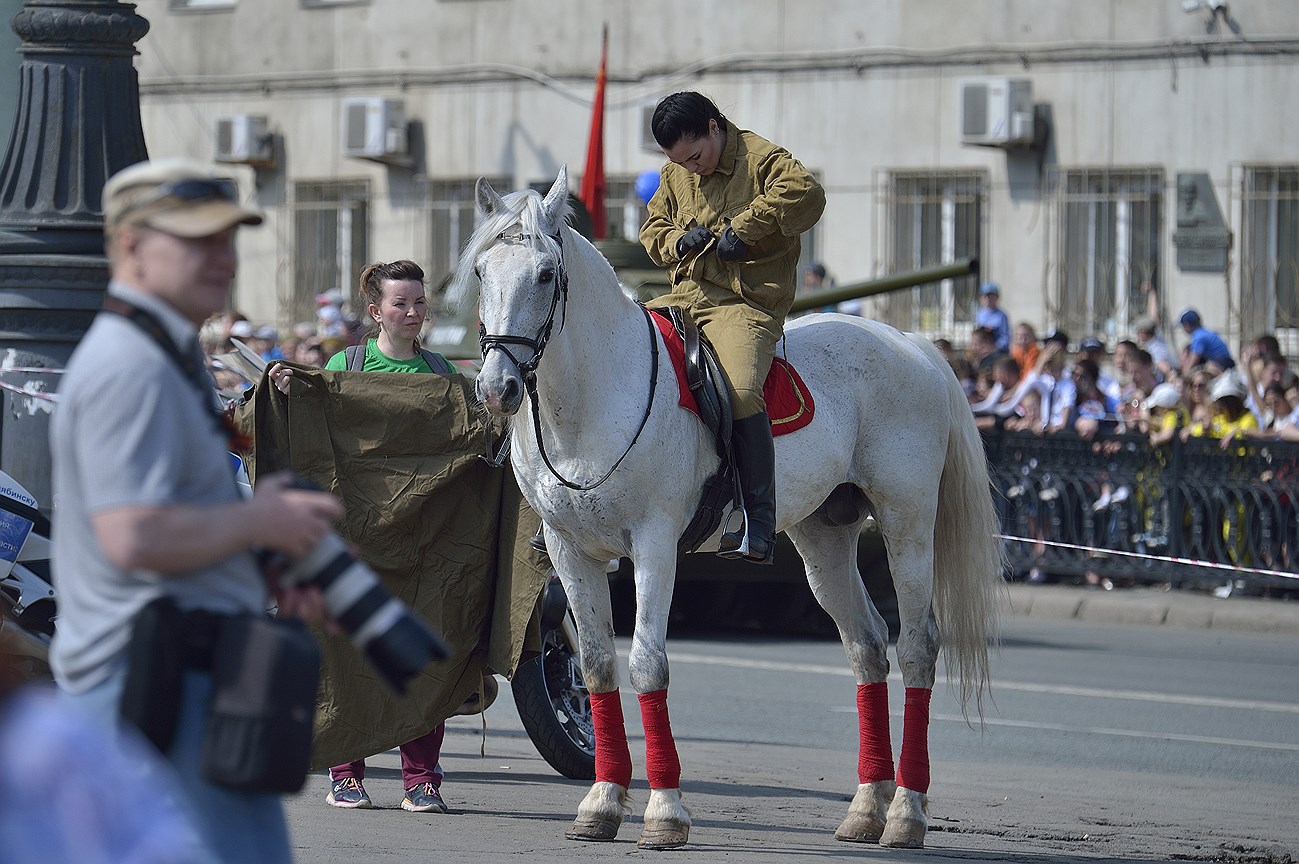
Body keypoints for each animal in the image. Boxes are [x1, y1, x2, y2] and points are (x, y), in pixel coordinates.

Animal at [457, 168, 1002, 847]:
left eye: (545, 274)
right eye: (483, 271)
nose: (495, 388)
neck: (589, 403)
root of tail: (912, 344)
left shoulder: (654, 545)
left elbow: (647, 664)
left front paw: (665, 811)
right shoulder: (568, 548)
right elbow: (597, 665)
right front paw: (602, 803)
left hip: (907, 524)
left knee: (918, 647)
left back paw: (906, 813)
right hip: (824, 538)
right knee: (867, 646)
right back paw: (865, 809)